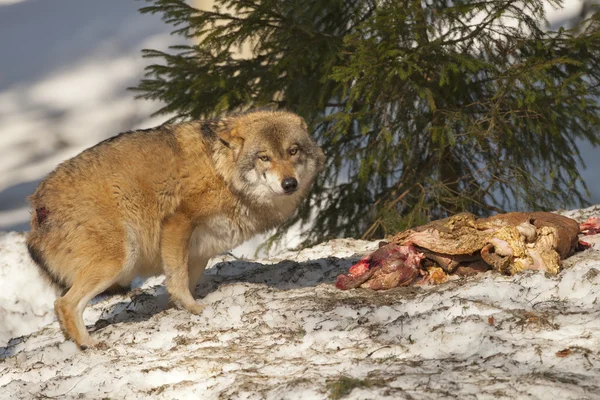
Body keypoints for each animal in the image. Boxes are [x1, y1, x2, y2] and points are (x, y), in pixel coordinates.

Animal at [24, 110, 324, 350]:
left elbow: (183, 282)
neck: (221, 172)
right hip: (120, 260)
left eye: (293, 151)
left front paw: (177, 308)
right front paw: (195, 309)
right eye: (264, 157)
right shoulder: (177, 225)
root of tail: (37, 206)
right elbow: (179, 281)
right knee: (64, 304)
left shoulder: (201, 250)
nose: (289, 183)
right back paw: (89, 344)